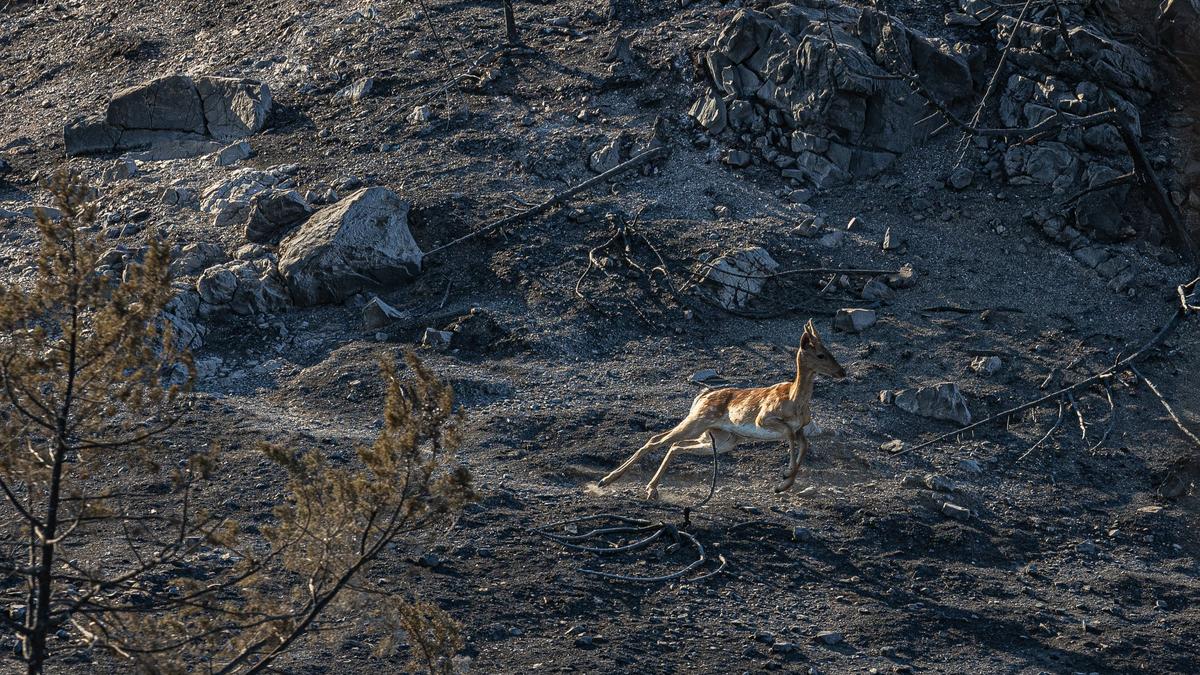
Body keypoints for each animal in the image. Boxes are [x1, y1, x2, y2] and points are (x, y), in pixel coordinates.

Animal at [597, 317, 844, 497]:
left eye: (831, 352)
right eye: (820, 354)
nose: (842, 372)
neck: (795, 401)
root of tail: (701, 397)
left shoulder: (800, 427)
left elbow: (804, 444)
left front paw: (783, 484)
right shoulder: (764, 419)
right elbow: (791, 439)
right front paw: (784, 477)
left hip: (723, 438)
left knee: (676, 445)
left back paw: (650, 488)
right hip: (698, 421)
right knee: (657, 439)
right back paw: (607, 481)